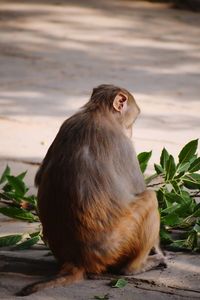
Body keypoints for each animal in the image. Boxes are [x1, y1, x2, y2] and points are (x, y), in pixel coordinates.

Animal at [16, 84, 166, 296]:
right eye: (131, 123)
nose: (130, 131)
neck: (98, 112)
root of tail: (78, 260)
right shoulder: (123, 144)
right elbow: (138, 188)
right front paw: (158, 250)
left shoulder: (66, 123)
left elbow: (39, 177)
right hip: (118, 243)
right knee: (150, 198)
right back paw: (134, 268)